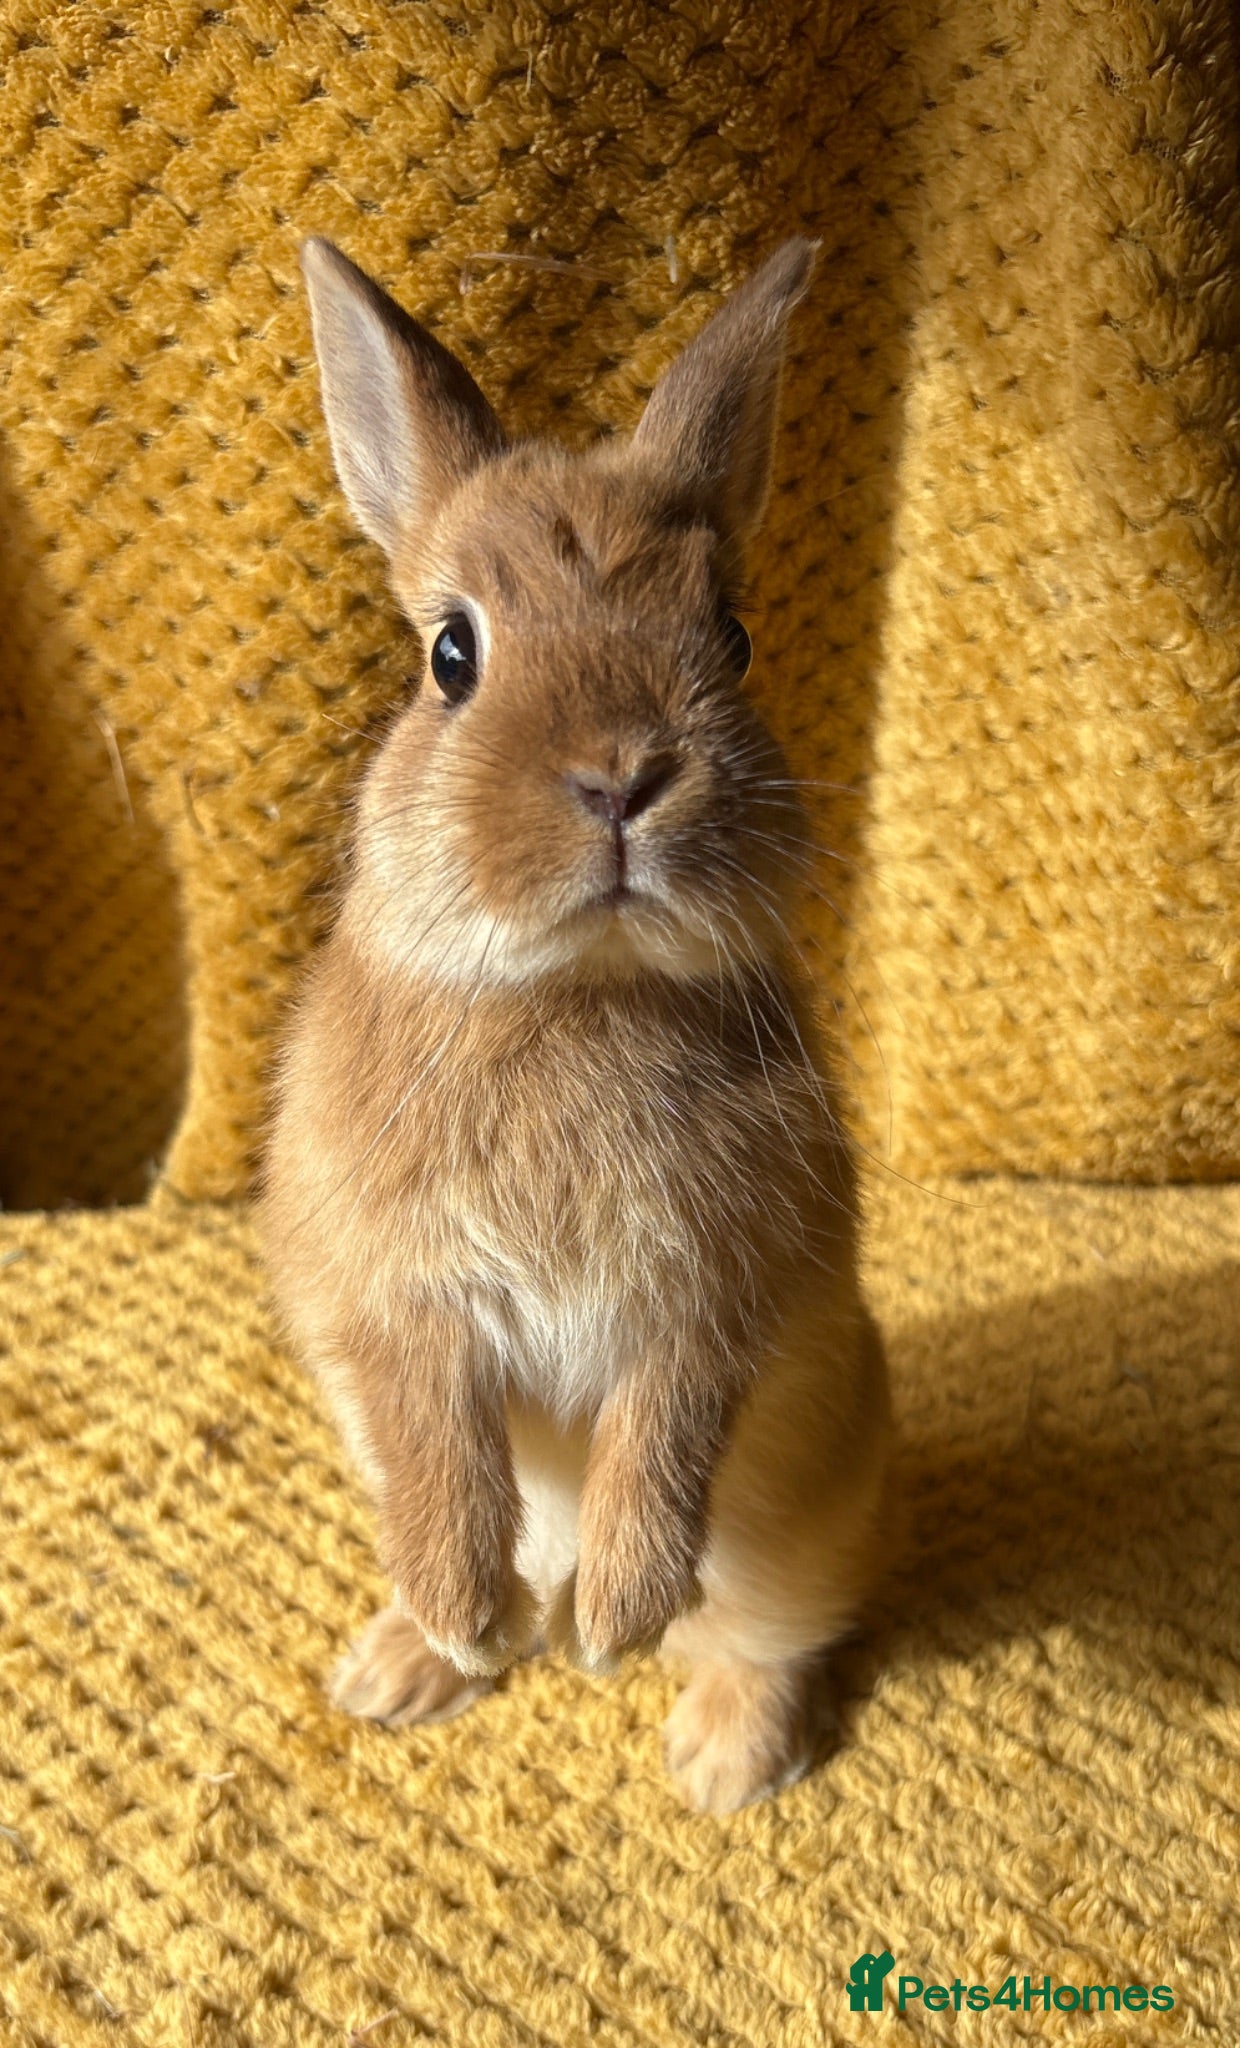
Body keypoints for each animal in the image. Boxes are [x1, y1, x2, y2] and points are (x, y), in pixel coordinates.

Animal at [260, 233, 892, 1813]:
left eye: (733, 638)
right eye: (451, 656)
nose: (621, 777)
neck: (570, 990)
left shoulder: (714, 1302)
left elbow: (663, 1434)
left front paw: (618, 1623)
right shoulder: (397, 1305)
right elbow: (437, 1448)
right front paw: (464, 1615)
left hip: (804, 1519)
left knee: (768, 1632)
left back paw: (718, 1755)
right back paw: (418, 1658)